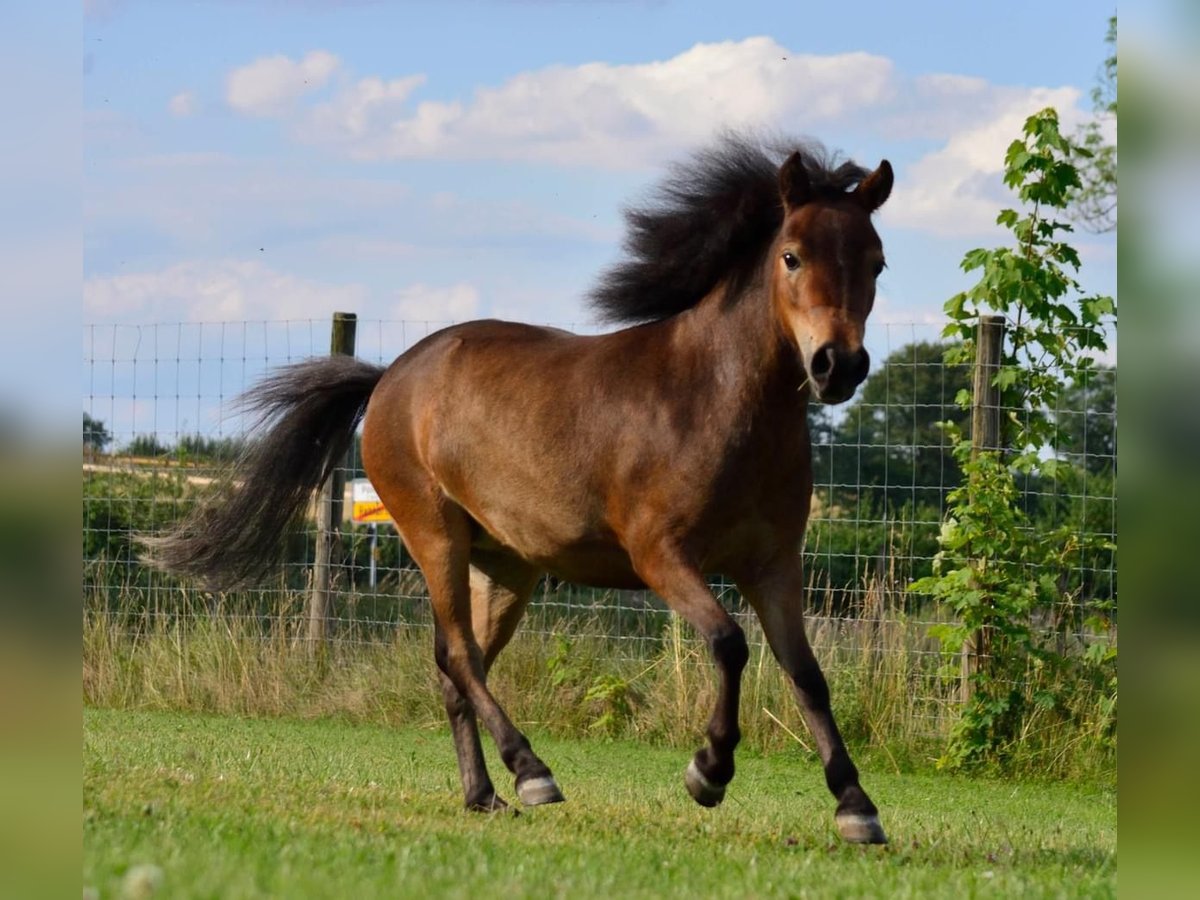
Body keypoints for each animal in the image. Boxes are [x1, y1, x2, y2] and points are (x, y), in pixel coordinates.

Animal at [150, 133, 897, 844]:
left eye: (877, 262)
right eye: (792, 256)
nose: (838, 365)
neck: (716, 399)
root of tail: (390, 376)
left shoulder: (773, 566)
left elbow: (807, 675)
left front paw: (856, 808)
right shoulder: (662, 557)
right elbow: (728, 643)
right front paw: (707, 772)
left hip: (506, 567)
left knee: (458, 666)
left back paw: (484, 795)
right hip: (435, 537)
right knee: (458, 655)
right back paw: (531, 772)